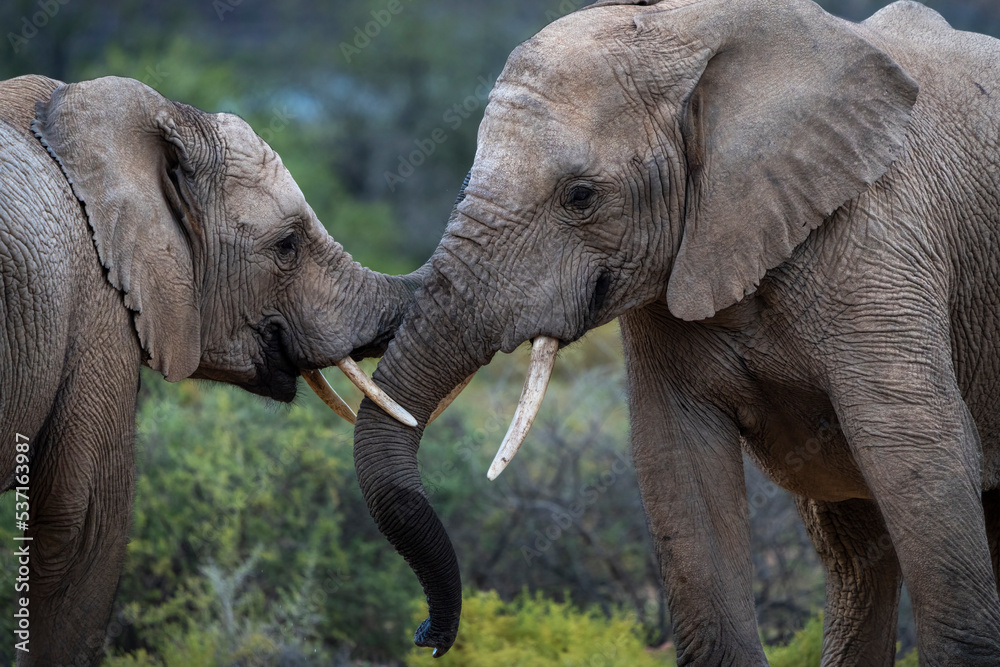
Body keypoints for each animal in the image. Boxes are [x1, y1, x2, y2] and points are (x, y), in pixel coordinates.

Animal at [356, 2, 1000, 664]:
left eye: (580, 197)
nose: (427, 636)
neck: (693, 33)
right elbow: (678, 464)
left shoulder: (879, 245)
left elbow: (918, 452)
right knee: (853, 546)